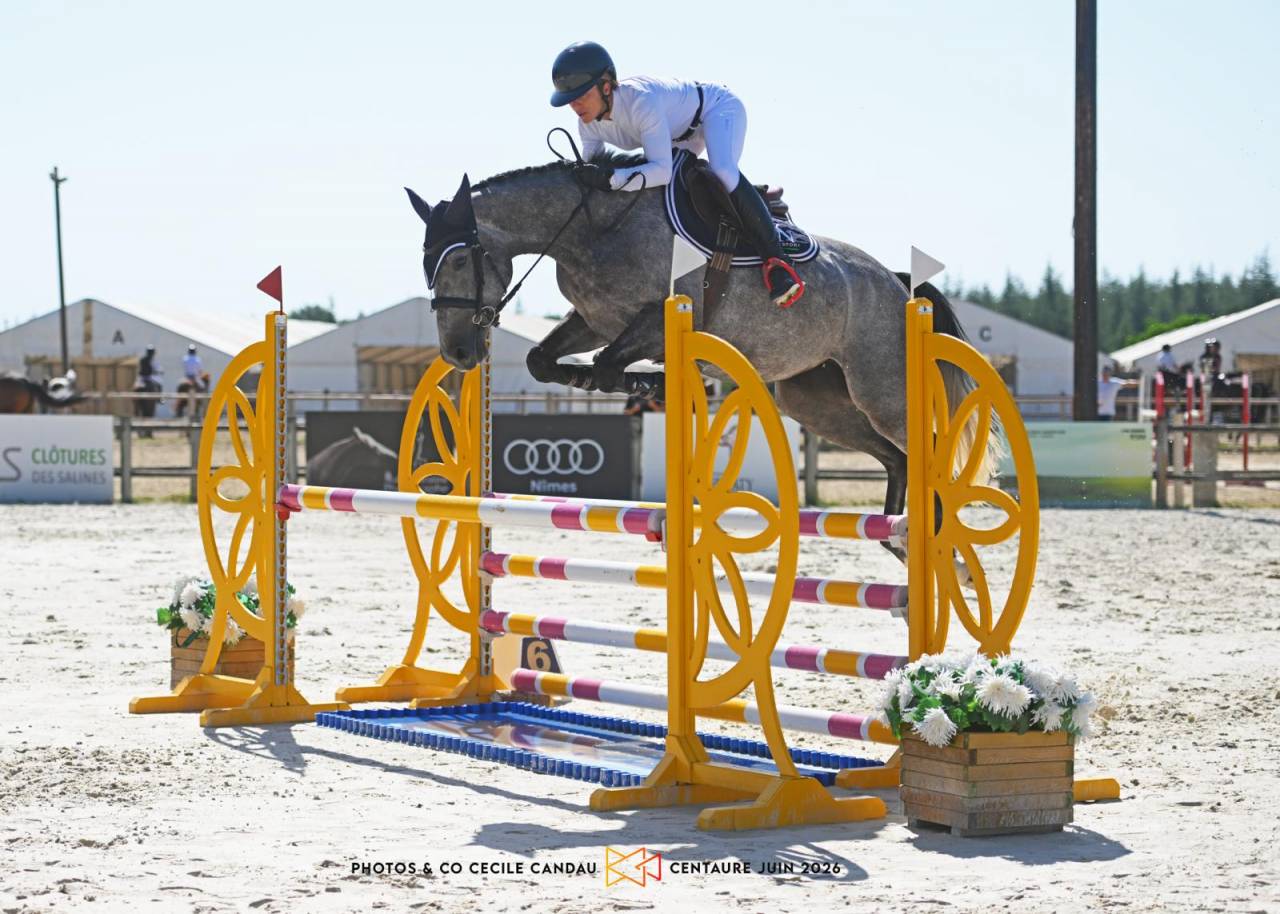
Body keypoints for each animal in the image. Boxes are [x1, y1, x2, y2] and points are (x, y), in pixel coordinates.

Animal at [406, 155, 995, 563]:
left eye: (456, 260)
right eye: (426, 264)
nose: (458, 353)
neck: (592, 230)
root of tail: (897, 284)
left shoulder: (654, 320)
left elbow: (610, 364)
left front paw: (649, 384)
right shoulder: (592, 321)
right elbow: (543, 362)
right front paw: (631, 384)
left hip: (880, 389)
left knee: (926, 450)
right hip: (817, 400)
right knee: (897, 459)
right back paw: (900, 540)